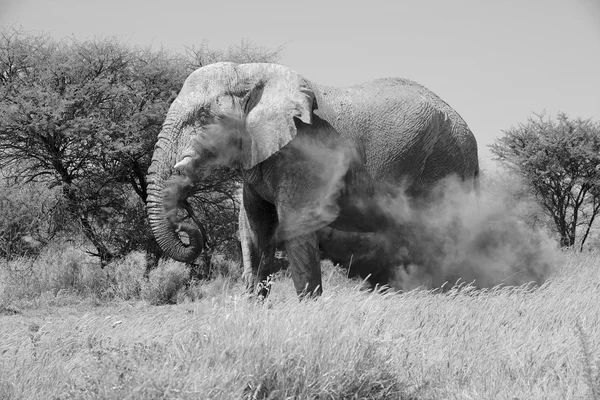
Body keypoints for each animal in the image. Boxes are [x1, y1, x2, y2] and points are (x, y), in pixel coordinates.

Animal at [148, 61, 480, 296]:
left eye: (204, 117)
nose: (187, 224)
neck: (251, 73)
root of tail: (469, 132)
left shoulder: (303, 154)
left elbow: (295, 227)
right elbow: (255, 231)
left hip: (444, 163)